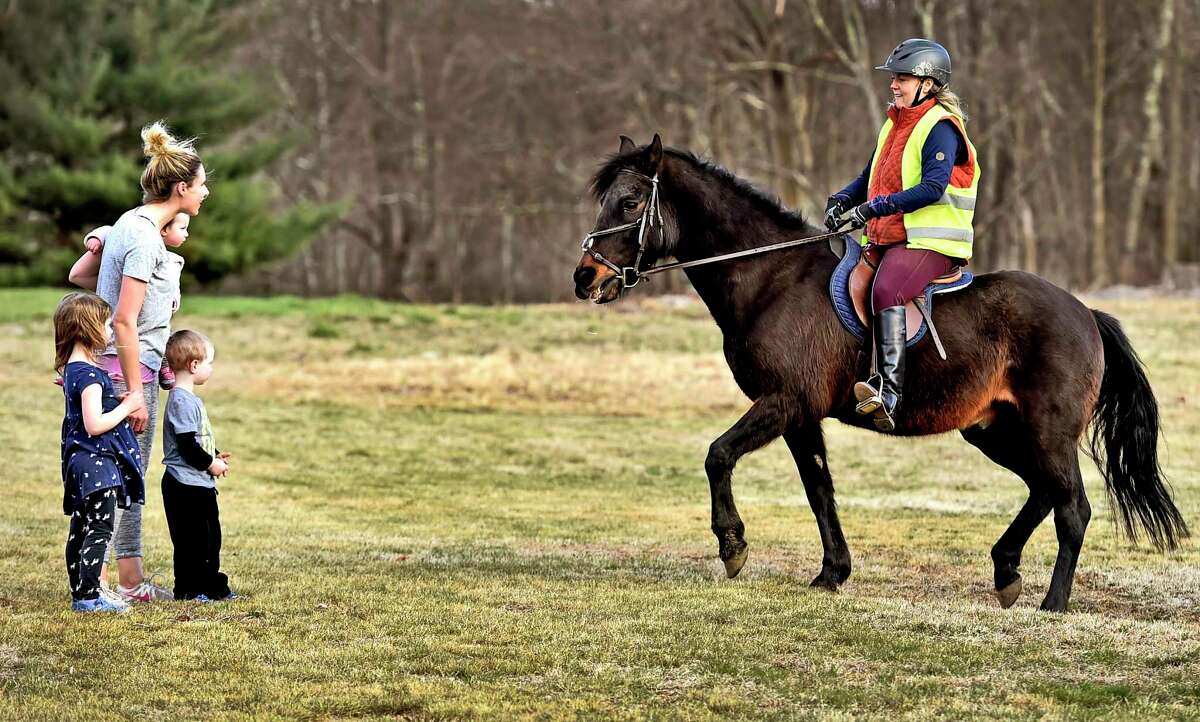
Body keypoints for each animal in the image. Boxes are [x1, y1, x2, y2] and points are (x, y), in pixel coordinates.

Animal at [576, 133, 1185, 606]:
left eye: (630, 203)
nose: (585, 278)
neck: (772, 280)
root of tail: (1085, 313)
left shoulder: (784, 401)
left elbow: (717, 455)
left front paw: (733, 546)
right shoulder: (800, 416)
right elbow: (819, 488)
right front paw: (832, 573)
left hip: (1047, 430)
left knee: (1072, 508)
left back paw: (1052, 602)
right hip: (994, 430)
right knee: (1045, 492)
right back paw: (1006, 570)